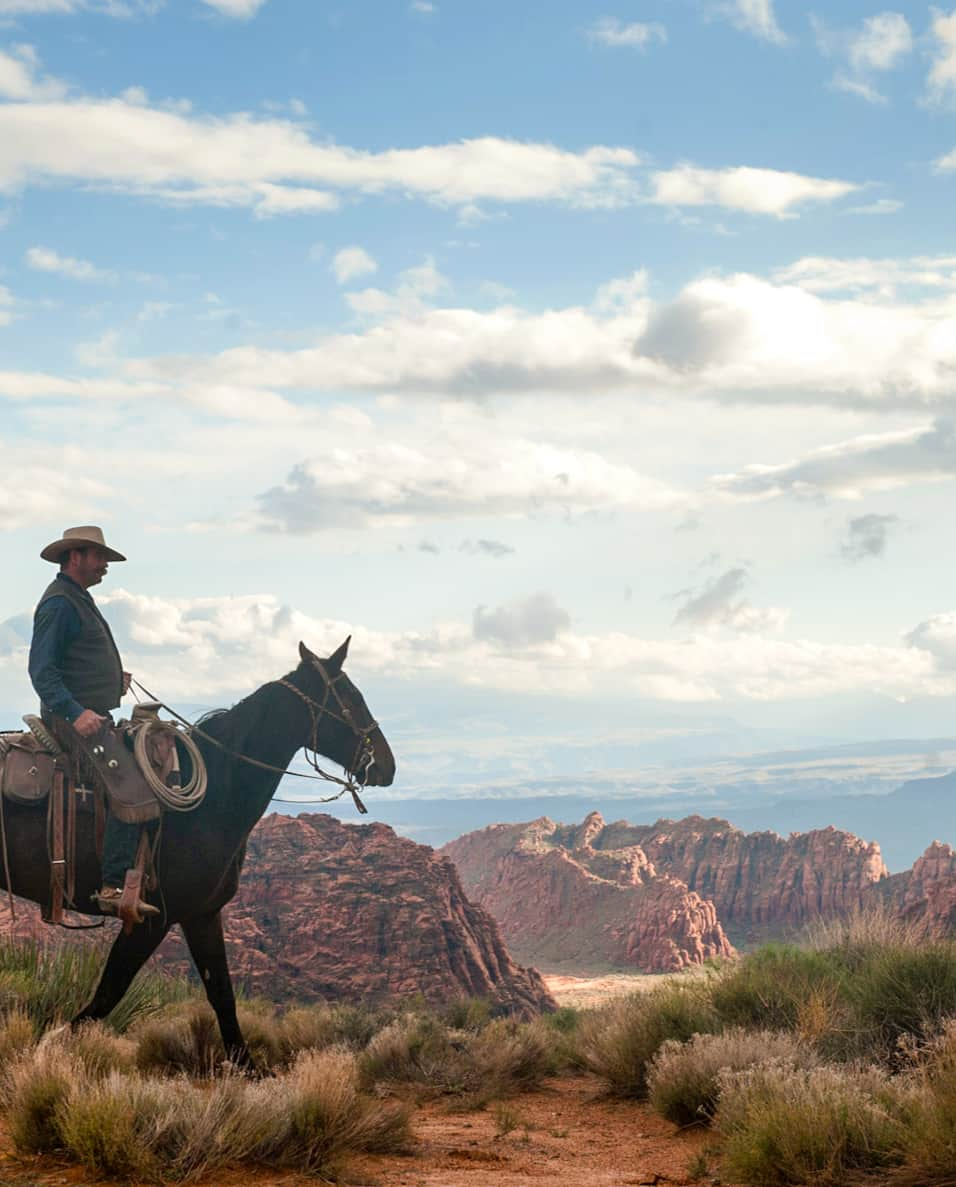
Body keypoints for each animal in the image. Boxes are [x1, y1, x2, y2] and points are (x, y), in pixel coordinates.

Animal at [0, 640, 394, 1068]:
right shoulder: (152, 918)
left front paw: (247, 1068)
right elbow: (109, 992)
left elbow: (221, 994)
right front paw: (47, 1049)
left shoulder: (202, 914)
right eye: (351, 698)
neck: (216, 794)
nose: (386, 765)